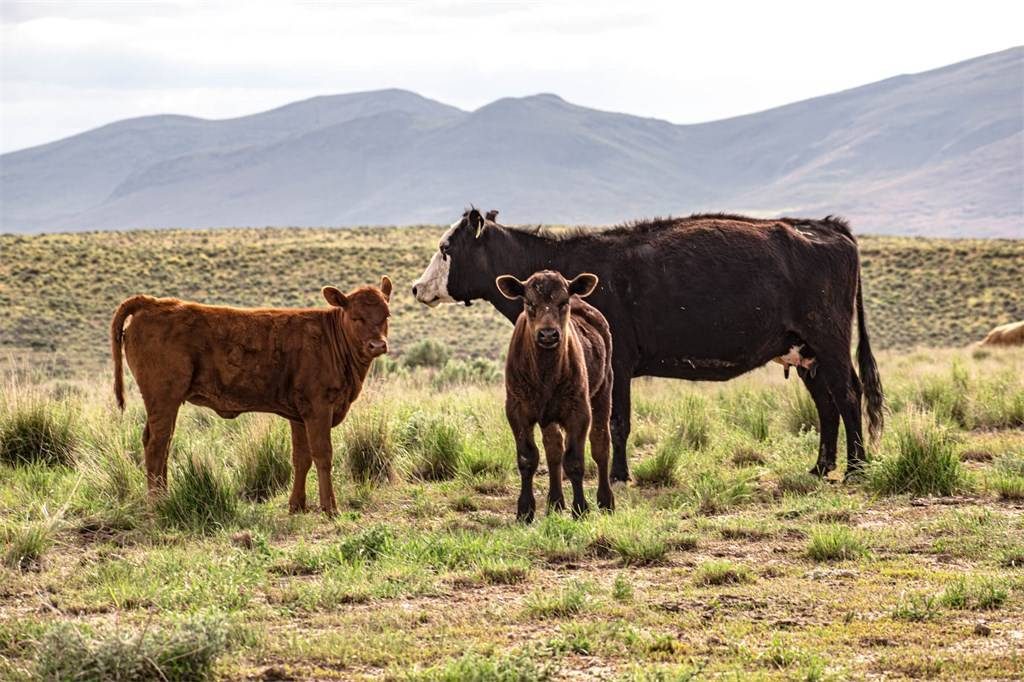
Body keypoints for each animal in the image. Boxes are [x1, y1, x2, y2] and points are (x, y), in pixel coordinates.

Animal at [110, 278, 392, 514]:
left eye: (386, 314)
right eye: (356, 317)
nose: (377, 345)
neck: (330, 339)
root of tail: (153, 303)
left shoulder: (299, 415)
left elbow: (301, 458)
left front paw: (297, 506)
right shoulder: (318, 408)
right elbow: (323, 455)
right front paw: (330, 508)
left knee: (161, 444)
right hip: (164, 398)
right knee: (156, 445)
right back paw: (158, 503)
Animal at [412, 209, 884, 482]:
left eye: (445, 247)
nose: (417, 287)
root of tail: (829, 227)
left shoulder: (616, 364)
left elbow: (616, 423)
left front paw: (618, 475)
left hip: (829, 340)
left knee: (848, 395)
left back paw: (856, 469)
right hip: (807, 352)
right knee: (826, 404)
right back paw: (821, 468)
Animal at [497, 270, 615, 522]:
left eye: (562, 302)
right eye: (530, 303)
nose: (548, 334)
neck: (545, 374)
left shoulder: (579, 412)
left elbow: (575, 461)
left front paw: (580, 509)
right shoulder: (517, 410)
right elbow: (528, 458)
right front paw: (525, 510)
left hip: (604, 390)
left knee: (600, 445)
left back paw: (606, 500)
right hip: (549, 417)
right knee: (554, 449)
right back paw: (555, 502)